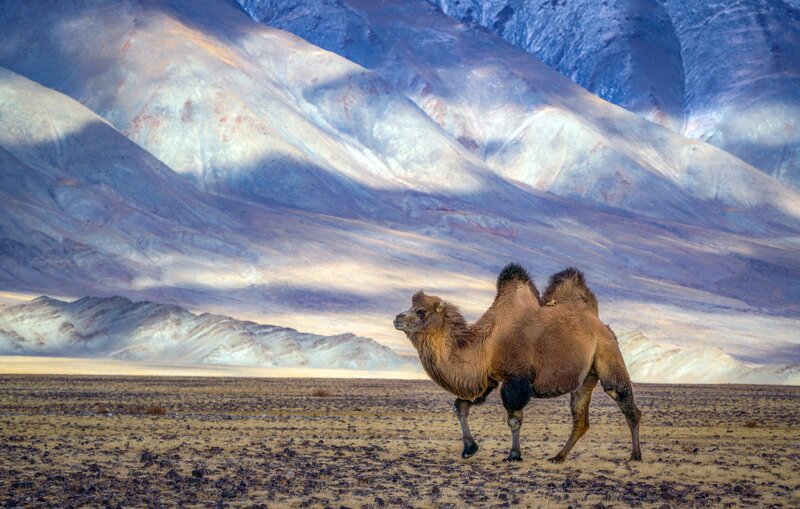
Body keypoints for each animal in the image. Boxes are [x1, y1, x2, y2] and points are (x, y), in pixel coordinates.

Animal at [393, 263, 641, 463]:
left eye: (421, 311)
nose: (397, 318)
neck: (488, 344)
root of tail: (601, 324)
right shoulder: (488, 379)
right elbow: (460, 406)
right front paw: (469, 448)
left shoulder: (517, 379)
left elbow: (513, 419)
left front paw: (514, 455)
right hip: (586, 376)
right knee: (581, 419)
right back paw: (558, 457)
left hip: (608, 352)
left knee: (625, 402)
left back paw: (635, 456)